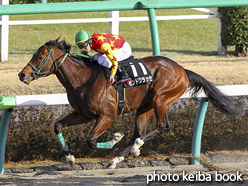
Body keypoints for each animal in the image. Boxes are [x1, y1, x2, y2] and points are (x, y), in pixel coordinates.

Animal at [18, 38, 243, 168]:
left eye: (40, 56)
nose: (22, 75)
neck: (82, 79)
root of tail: (182, 70)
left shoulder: (107, 116)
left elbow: (91, 140)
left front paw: (115, 138)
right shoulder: (82, 114)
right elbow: (57, 126)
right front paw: (69, 158)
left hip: (161, 98)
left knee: (163, 127)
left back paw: (134, 148)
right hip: (145, 106)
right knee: (139, 132)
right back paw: (120, 157)